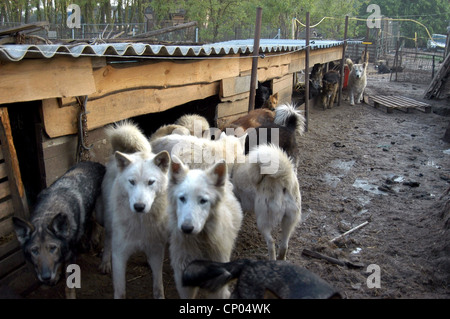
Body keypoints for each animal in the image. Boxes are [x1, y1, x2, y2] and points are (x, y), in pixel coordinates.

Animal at [13, 162, 105, 300]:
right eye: (34, 251)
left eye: (52, 248)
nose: (46, 277)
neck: (48, 213)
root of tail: (98, 164)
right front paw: (56, 275)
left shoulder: (71, 256)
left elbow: (69, 286)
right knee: (94, 225)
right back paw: (93, 240)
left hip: (101, 215)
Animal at [99, 121, 171, 298]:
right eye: (131, 182)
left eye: (151, 182)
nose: (139, 207)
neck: (140, 223)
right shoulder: (119, 255)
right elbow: (120, 291)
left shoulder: (156, 251)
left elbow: (158, 286)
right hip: (109, 223)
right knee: (107, 239)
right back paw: (104, 263)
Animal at [167, 159, 243, 298]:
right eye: (182, 198)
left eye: (203, 200)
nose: (186, 228)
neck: (200, 242)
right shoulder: (183, 281)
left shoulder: (217, 287)